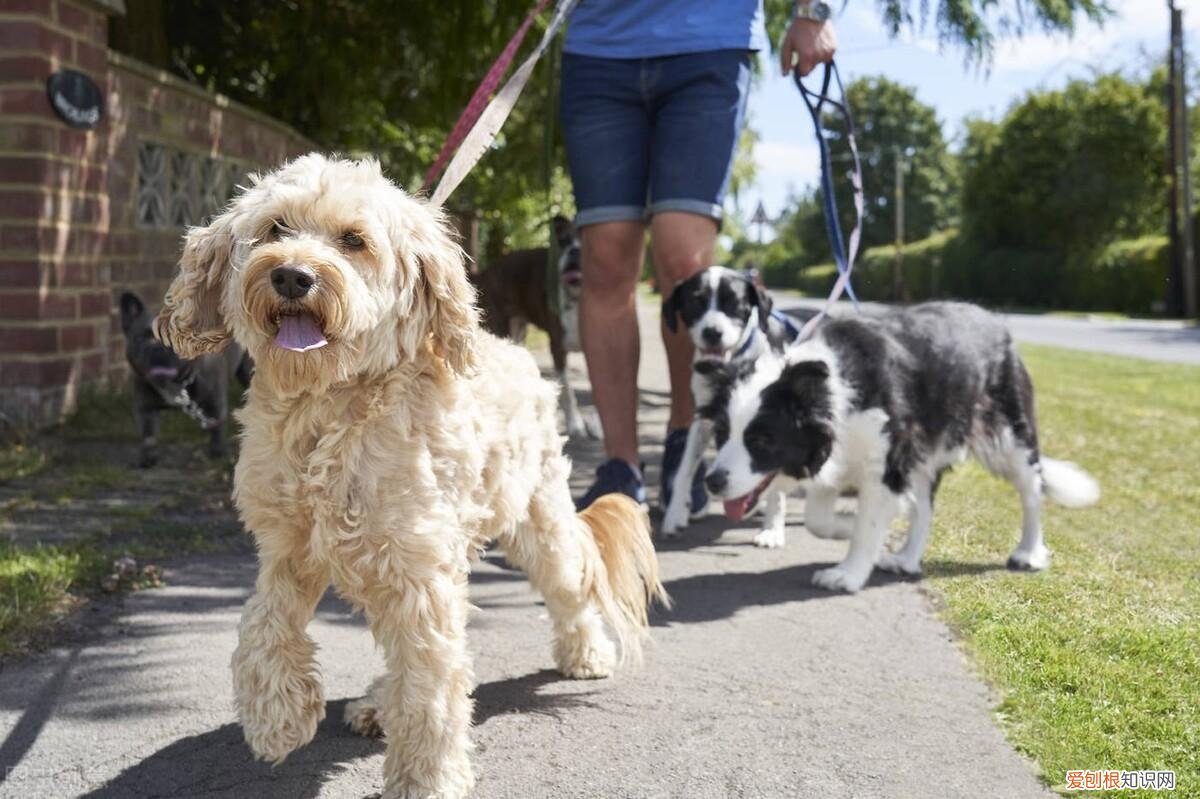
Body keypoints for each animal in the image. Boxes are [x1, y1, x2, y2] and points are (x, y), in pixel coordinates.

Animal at [118, 291, 252, 467]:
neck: (175, 384)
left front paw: (218, 453)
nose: (159, 348)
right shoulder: (145, 408)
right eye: (142, 338)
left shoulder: (215, 402)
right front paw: (147, 458)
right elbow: (148, 436)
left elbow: (216, 428)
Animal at [152, 152, 667, 791]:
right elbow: (262, 624)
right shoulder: (289, 549)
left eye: (353, 240)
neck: (329, 408)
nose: (292, 276)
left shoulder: (417, 570)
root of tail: (519, 354)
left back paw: (586, 653)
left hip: (537, 520)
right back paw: (376, 703)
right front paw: (277, 716)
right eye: (275, 228)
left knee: (570, 586)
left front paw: (427, 779)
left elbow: (430, 683)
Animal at [657, 266, 806, 542]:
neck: (733, 366)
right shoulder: (704, 418)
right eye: (696, 301)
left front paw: (772, 529)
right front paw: (675, 514)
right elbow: (685, 467)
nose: (712, 333)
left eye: (734, 304)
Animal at [700, 299, 1099, 590]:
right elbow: (817, 520)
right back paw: (907, 558)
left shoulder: (885, 461)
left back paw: (1028, 552)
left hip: (1009, 435)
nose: (712, 482)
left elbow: (868, 522)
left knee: (1031, 492)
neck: (832, 387)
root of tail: (997, 323)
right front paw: (848, 528)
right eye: (721, 433)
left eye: (761, 439)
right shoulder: (840, 451)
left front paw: (848, 573)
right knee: (925, 505)